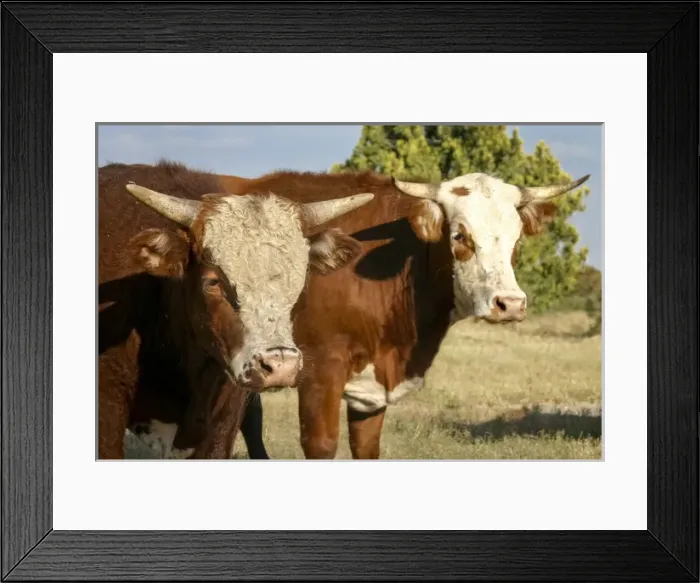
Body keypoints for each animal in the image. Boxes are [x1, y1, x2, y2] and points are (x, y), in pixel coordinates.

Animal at [214, 168, 591, 460]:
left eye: (517, 240)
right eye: (460, 235)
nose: (509, 304)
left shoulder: (370, 389)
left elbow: (366, 447)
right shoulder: (320, 372)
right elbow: (321, 445)